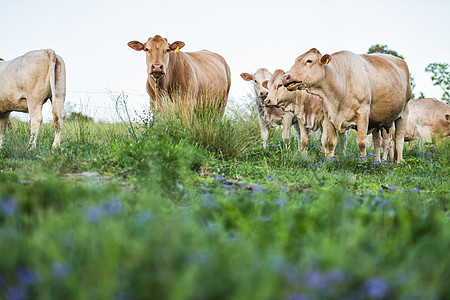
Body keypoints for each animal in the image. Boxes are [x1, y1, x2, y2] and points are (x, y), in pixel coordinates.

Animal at [284, 49, 414, 163]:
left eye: (309, 60)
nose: (285, 77)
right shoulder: (328, 115)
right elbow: (331, 142)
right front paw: (329, 160)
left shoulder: (363, 113)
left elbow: (361, 142)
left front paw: (363, 162)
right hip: (377, 121)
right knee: (377, 142)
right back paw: (377, 162)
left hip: (404, 113)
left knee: (399, 140)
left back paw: (398, 162)